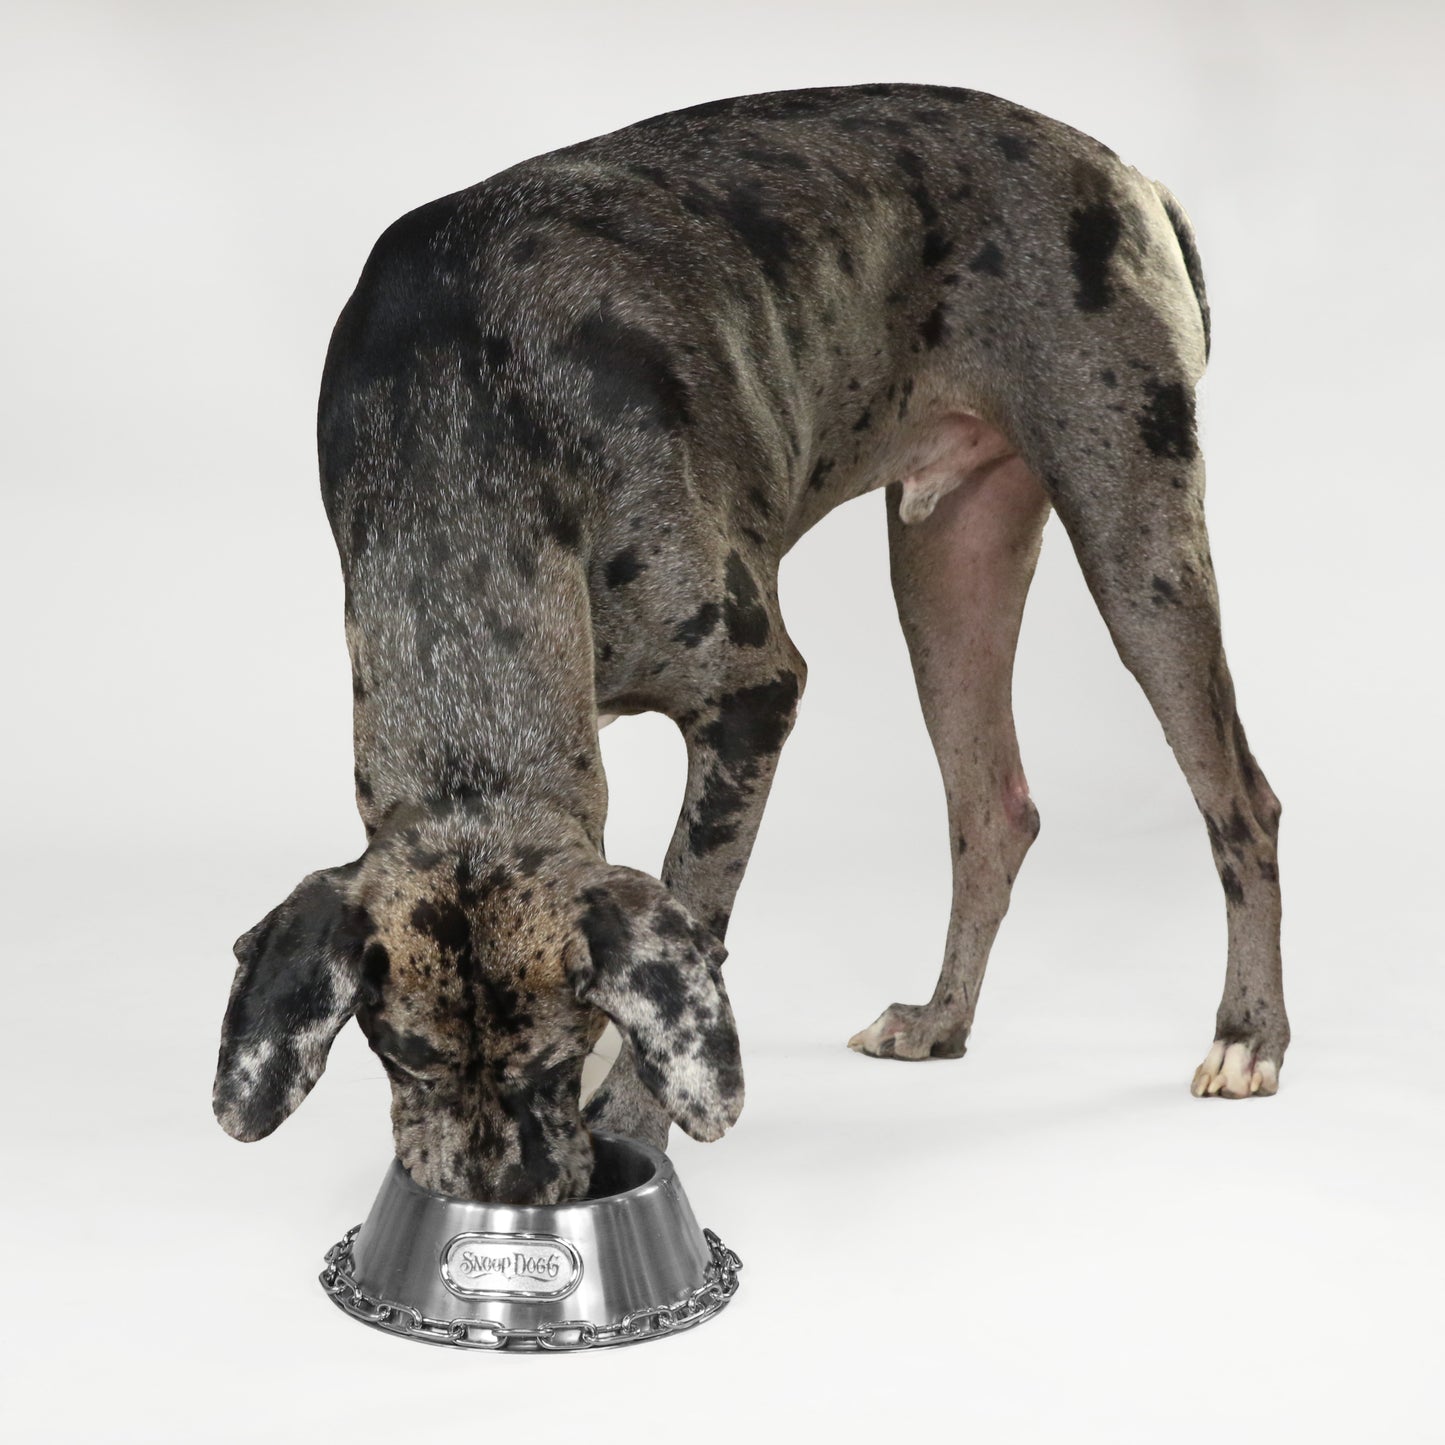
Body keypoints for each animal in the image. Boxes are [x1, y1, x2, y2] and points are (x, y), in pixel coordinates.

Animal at [210, 84, 1288, 1202]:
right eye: (399, 1053)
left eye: (555, 1052)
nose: (503, 1201)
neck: (465, 423)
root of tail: (1119, 169)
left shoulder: (749, 699)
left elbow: (694, 917)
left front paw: (631, 1119)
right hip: (945, 573)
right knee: (991, 812)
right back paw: (940, 1021)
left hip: (1136, 546)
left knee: (1239, 801)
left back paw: (1248, 1035)